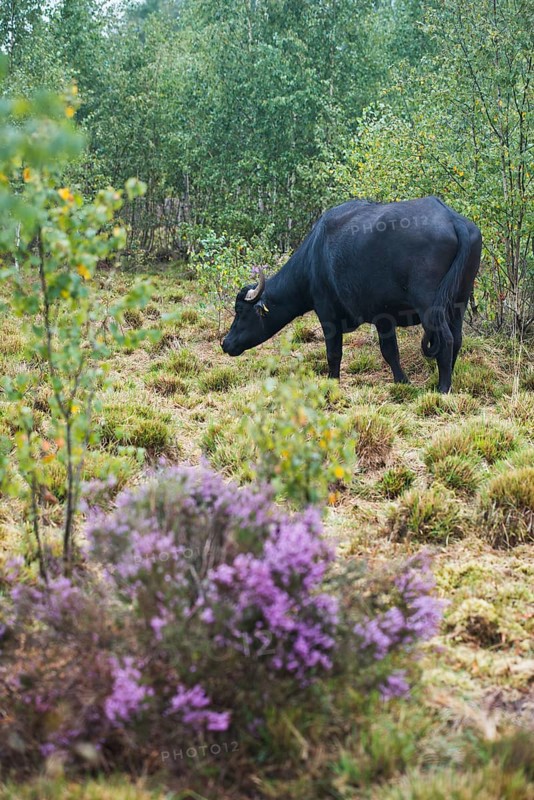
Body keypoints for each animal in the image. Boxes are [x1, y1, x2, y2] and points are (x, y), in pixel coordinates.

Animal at [222, 197, 482, 393]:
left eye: (240, 311)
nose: (226, 343)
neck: (315, 256)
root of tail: (452, 219)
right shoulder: (383, 317)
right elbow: (390, 351)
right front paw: (402, 381)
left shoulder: (327, 313)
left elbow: (334, 352)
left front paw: (332, 382)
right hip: (459, 302)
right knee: (457, 338)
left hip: (430, 306)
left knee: (446, 339)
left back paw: (443, 387)